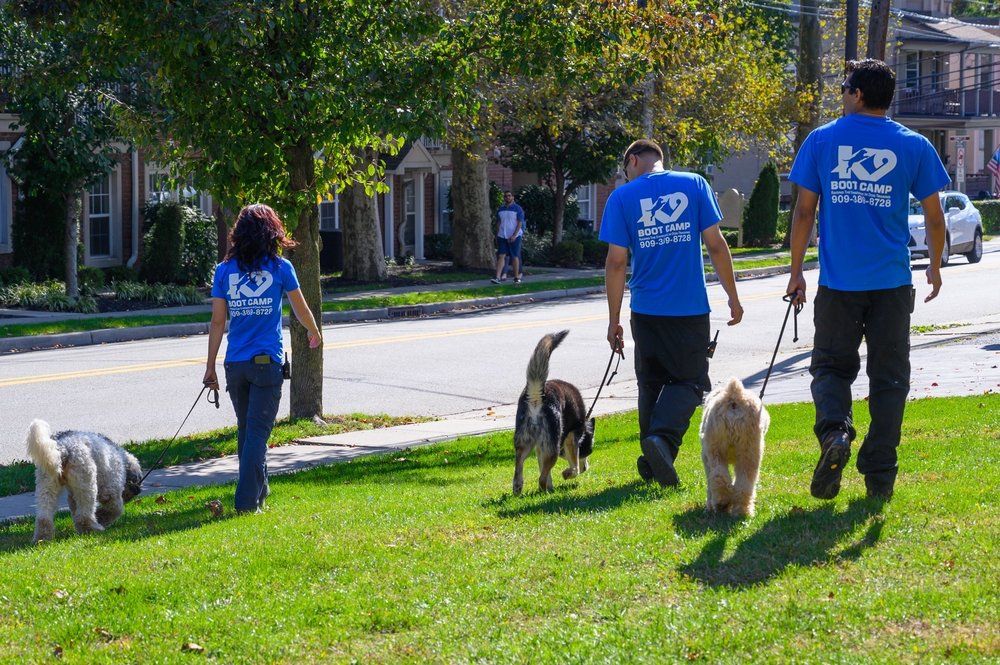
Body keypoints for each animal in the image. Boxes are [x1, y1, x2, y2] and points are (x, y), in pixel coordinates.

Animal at [700, 376, 768, 516]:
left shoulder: (706, 457)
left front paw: (709, 504)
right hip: (748, 450)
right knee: (742, 481)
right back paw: (738, 509)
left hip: (716, 449)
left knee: (717, 476)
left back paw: (723, 504)